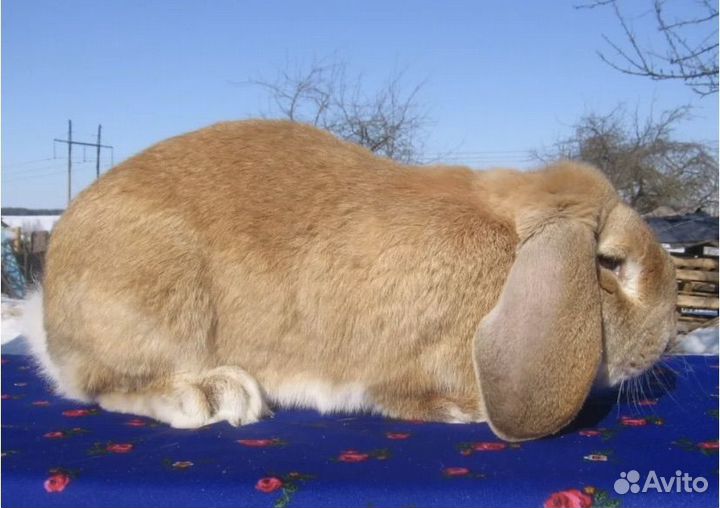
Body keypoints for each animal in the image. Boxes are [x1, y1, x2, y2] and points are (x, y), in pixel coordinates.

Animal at [25, 119, 678, 441]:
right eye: (611, 263)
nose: (668, 335)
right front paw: (459, 413)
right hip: (157, 299)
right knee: (102, 387)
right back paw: (214, 395)